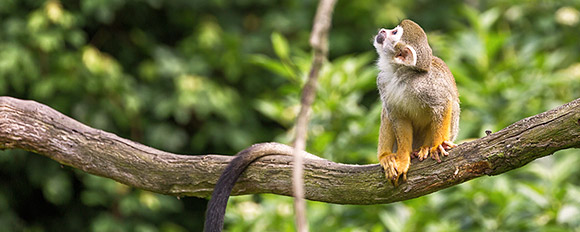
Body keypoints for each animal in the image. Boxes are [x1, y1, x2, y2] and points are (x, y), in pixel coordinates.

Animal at [374, 20, 460, 187]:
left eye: (394, 32)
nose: (382, 31)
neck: (399, 73)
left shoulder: (424, 83)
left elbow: (444, 102)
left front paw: (438, 145)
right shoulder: (381, 81)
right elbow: (398, 117)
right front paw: (402, 158)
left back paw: (426, 147)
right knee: (387, 112)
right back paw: (386, 156)